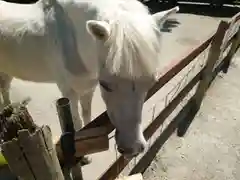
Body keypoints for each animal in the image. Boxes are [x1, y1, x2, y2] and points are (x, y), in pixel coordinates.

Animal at [0, 0, 178, 157]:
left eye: (151, 83)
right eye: (105, 85)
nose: (132, 149)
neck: (71, 38)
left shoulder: (88, 87)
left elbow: (87, 115)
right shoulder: (69, 92)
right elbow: (77, 122)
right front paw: (83, 157)